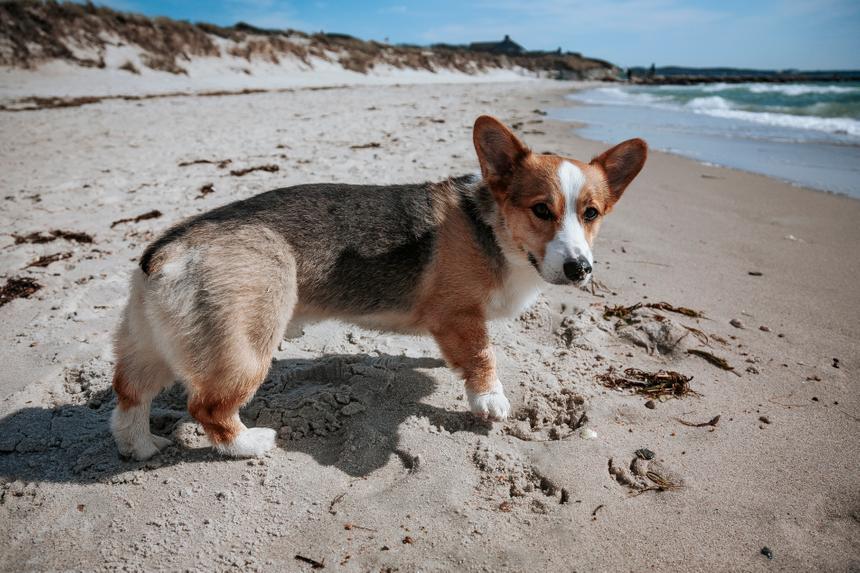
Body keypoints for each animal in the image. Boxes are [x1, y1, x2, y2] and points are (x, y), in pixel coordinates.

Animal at [109, 116, 644, 460]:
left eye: (591, 213)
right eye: (540, 209)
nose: (580, 269)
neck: (494, 230)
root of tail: (167, 251)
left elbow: (465, 352)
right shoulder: (459, 316)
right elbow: (482, 356)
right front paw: (489, 400)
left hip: (152, 347)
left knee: (129, 395)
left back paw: (142, 448)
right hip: (245, 347)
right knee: (209, 408)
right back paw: (250, 445)